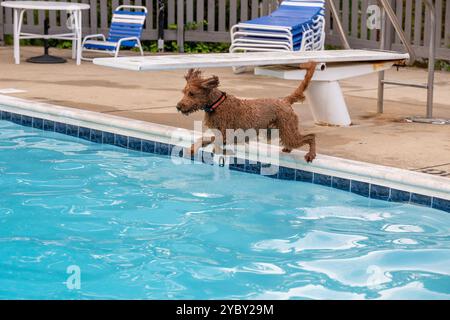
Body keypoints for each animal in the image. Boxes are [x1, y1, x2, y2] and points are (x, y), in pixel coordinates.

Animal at [176, 61, 316, 162]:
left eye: (192, 93)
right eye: (184, 92)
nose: (178, 106)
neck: (216, 104)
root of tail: (285, 101)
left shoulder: (227, 134)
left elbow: (212, 140)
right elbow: (205, 138)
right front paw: (194, 148)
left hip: (287, 129)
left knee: (310, 136)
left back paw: (311, 154)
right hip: (278, 130)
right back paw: (288, 148)